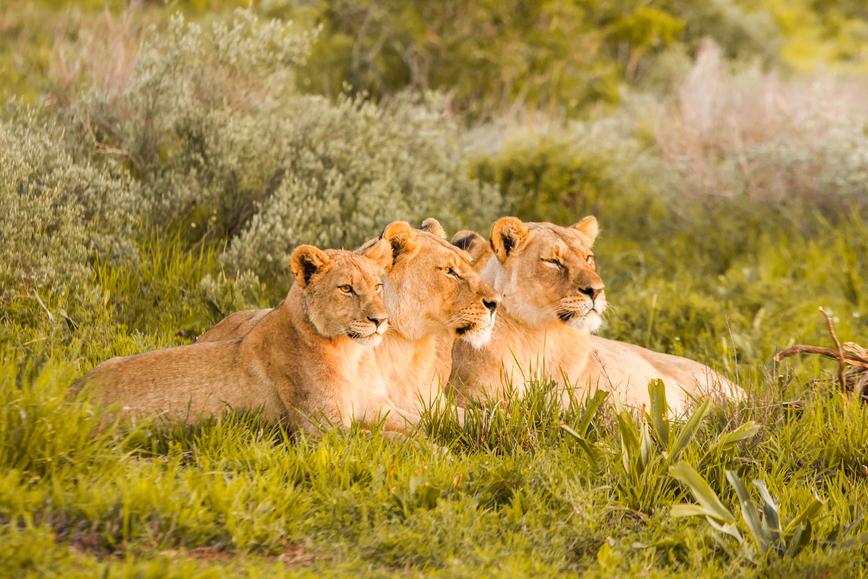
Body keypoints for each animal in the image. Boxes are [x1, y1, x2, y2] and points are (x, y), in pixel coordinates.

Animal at [76, 244, 422, 432]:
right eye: (346, 288)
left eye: (377, 286)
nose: (381, 320)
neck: (353, 355)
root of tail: (71, 395)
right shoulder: (324, 430)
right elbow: (392, 443)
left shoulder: (375, 406)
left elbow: (421, 423)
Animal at [198, 219, 501, 422]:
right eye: (449, 271)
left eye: (467, 263)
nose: (495, 302)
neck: (408, 348)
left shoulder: (431, 401)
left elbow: (481, 417)